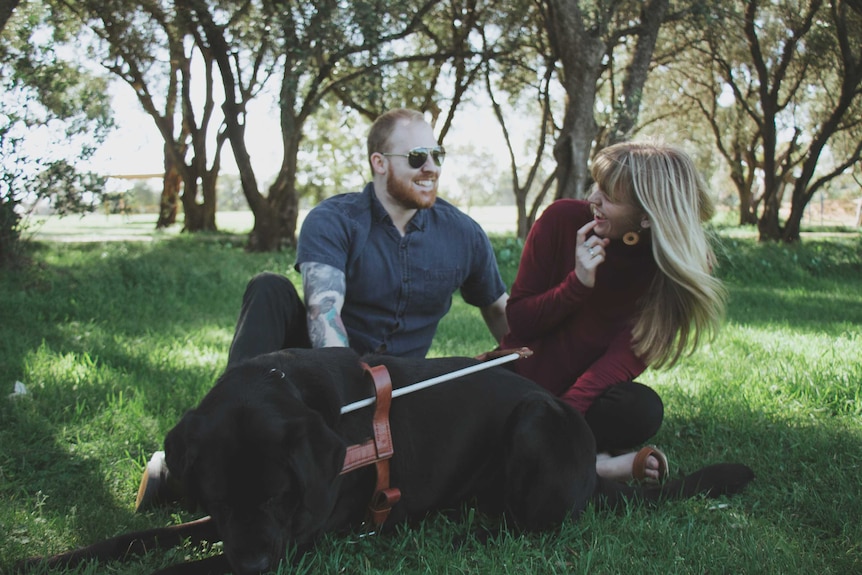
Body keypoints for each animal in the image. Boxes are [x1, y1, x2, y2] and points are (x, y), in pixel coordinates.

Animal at [20, 348, 756, 572]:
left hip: (534, 423)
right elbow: (134, 537)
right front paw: (50, 557)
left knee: (531, 524)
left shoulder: (301, 537)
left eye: (282, 491)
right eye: (218, 493)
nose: (255, 565)